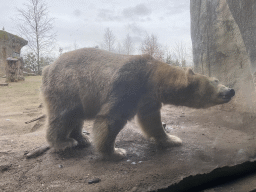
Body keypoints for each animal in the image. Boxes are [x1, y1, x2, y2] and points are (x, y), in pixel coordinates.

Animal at [41, 48, 235, 160]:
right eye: (216, 81)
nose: (231, 90)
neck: (152, 76)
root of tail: (47, 68)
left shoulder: (148, 97)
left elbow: (152, 120)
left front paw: (172, 139)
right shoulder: (129, 83)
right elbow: (111, 118)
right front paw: (115, 152)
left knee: (76, 116)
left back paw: (82, 138)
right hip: (67, 85)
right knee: (64, 115)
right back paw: (64, 142)